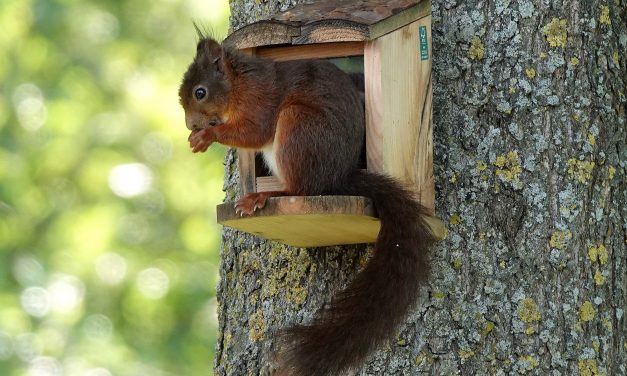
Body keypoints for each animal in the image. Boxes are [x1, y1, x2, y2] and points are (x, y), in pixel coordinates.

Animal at [178, 36, 436, 376]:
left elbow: (255, 131)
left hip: (298, 126)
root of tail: (340, 178)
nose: (190, 125)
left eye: (200, 92)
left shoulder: (261, 100)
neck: (239, 85)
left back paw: (265, 196)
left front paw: (207, 135)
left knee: (299, 188)